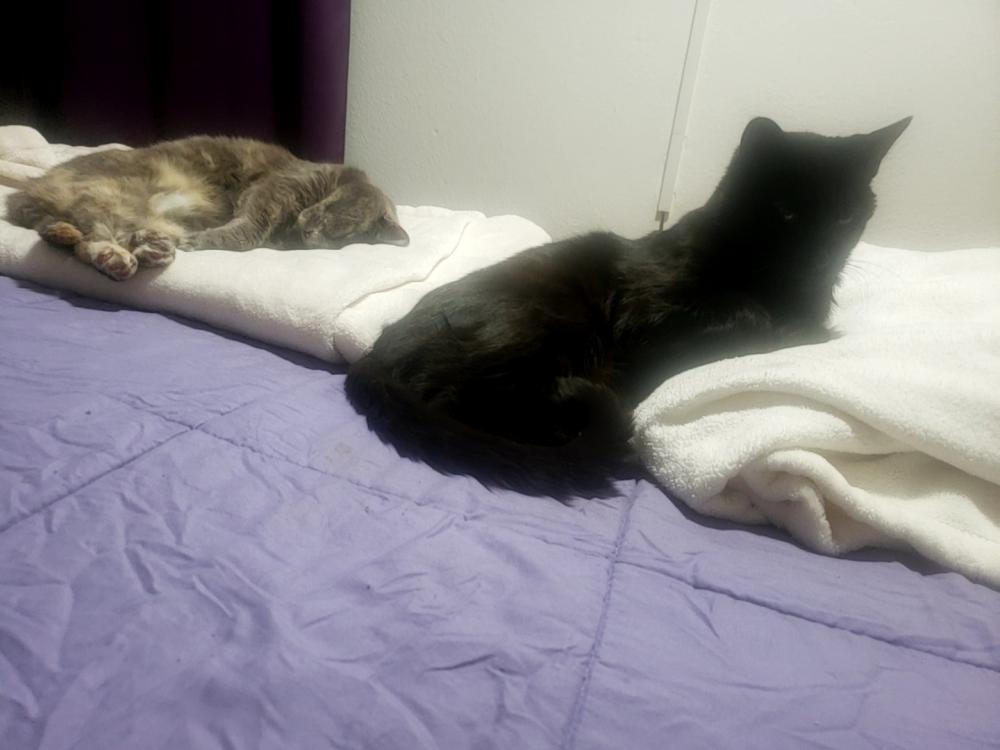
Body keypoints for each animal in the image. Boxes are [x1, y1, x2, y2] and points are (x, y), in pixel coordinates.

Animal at [5, 136, 409, 280]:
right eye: (330, 210)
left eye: (339, 237)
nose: (310, 230)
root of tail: (26, 194)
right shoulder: (274, 189)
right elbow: (248, 229)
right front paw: (205, 240)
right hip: (113, 196)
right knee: (93, 235)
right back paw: (128, 256)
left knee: (78, 240)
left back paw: (144, 253)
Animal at [345, 116, 912, 498]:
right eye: (787, 212)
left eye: (845, 218)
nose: (820, 255)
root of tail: (372, 356)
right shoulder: (648, 316)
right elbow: (746, 316)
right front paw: (783, 328)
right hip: (548, 325)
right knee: (458, 401)